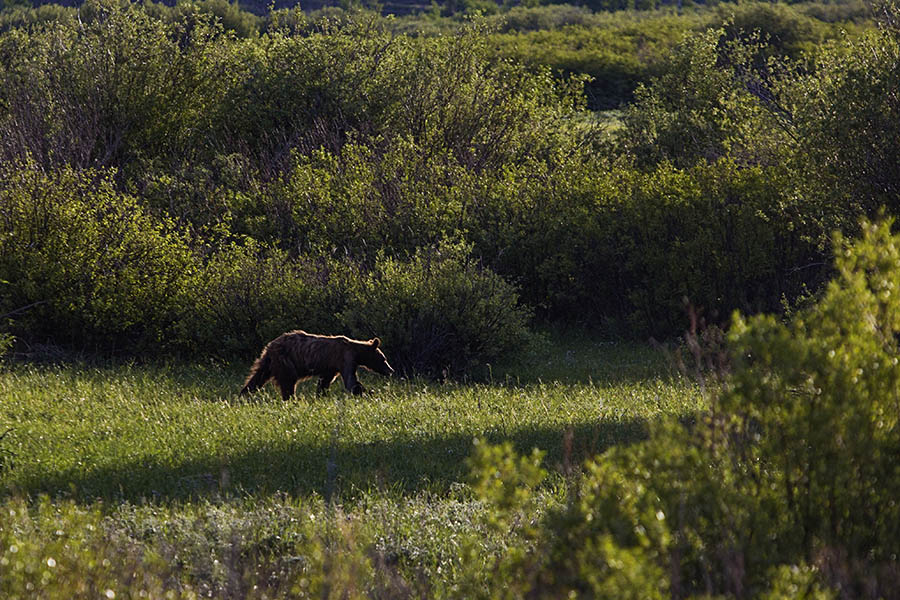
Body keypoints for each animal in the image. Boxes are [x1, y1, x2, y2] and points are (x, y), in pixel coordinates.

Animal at [239, 330, 394, 400]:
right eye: (384, 359)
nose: (391, 370)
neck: (357, 352)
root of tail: (270, 346)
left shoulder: (331, 367)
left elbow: (324, 381)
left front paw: (321, 394)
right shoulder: (345, 358)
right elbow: (351, 381)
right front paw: (369, 392)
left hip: (269, 363)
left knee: (257, 377)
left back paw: (243, 394)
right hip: (286, 361)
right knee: (288, 382)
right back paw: (291, 398)